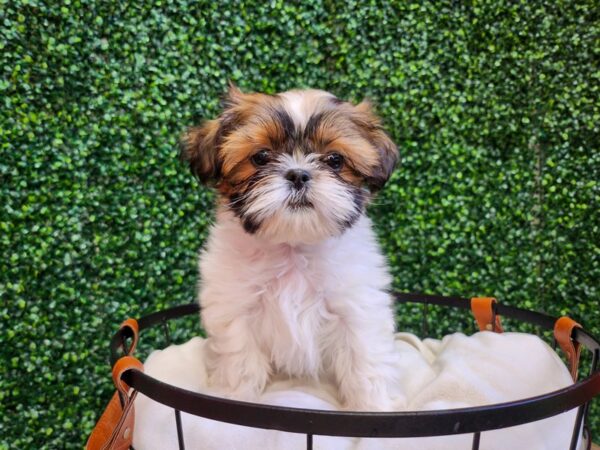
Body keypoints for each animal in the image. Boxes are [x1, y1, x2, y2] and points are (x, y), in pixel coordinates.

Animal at [180, 85, 400, 412]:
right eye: (261, 157)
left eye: (335, 160)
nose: (298, 174)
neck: (293, 246)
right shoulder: (235, 309)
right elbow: (240, 362)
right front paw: (234, 402)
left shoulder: (356, 307)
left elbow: (364, 360)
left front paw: (373, 409)